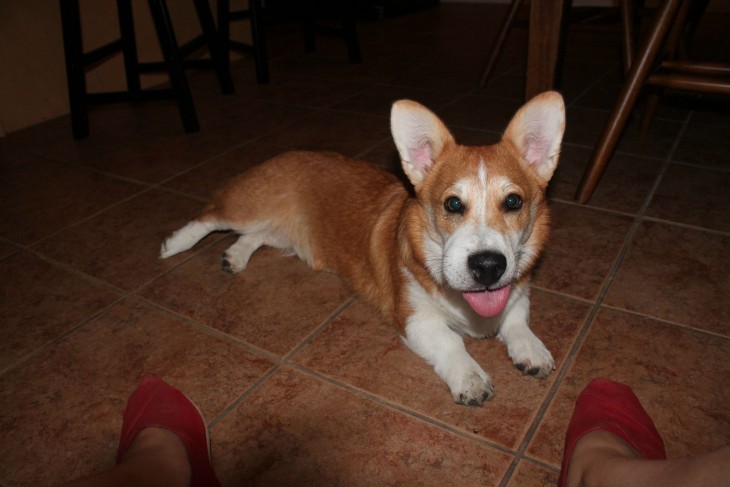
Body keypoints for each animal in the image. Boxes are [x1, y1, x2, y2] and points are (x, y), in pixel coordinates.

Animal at [162, 91, 564, 408]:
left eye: (513, 202)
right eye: (452, 205)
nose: (488, 266)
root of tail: (285, 154)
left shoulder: (516, 293)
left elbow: (517, 319)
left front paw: (532, 349)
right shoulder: (415, 317)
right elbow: (451, 341)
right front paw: (470, 378)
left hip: (277, 231)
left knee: (254, 236)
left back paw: (235, 257)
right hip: (248, 207)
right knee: (210, 216)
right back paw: (173, 244)